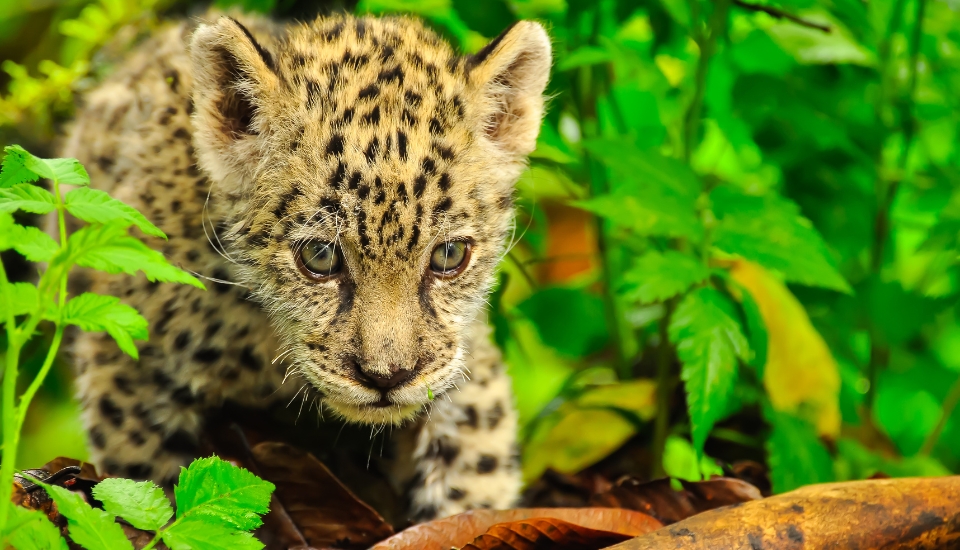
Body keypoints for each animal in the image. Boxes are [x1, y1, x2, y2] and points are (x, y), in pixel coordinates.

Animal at [57, 9, 551, 523]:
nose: (387, 377)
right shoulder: (130, 371)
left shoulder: (467, 364)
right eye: (319, 257)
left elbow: (477, 475)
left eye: (449, 256)